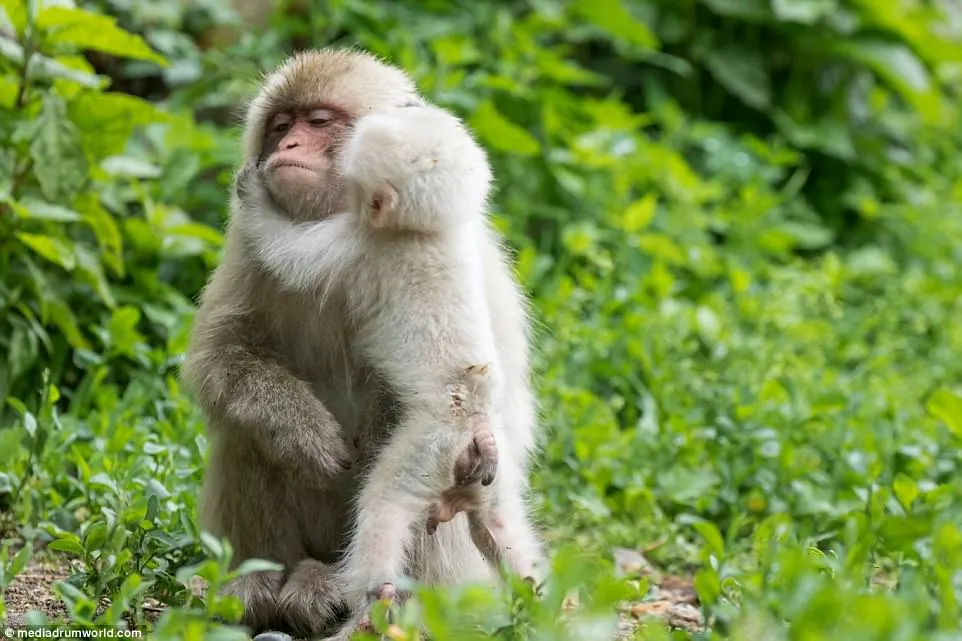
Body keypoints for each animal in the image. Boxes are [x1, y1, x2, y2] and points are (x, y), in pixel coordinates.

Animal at [181, 49, 543, 639]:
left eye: (318, 122)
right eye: (281, 124)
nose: (286, 148)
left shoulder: (350, 245)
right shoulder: (245, 250)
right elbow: (223, 354)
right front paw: (301, 432)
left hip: (440, 476)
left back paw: (369, 603)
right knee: (245, 432)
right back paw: (262, 584)